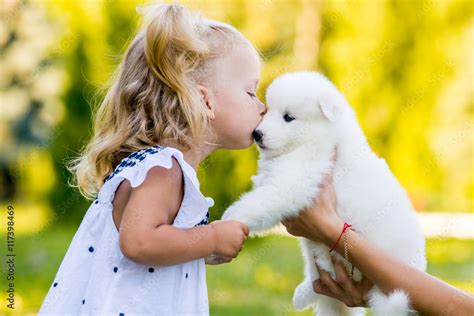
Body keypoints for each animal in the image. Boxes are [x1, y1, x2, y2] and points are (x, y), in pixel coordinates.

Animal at [222, 71, 426, 316]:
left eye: (288, 117)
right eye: (267, 111)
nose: (257, 134)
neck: (315, 140)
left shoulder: (293, 182)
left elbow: (259, 202)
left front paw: (230, 218)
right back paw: (302, 295)